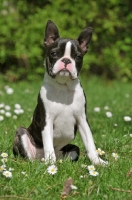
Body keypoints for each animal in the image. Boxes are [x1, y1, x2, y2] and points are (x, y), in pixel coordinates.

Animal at [13, 19, 106, 164]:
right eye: (54, 54)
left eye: (78, 57)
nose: (66, 60)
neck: (63, 87)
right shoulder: (47, 121)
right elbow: (48, 144)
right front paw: (51, 165)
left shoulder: (82, 120)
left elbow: (90, 144)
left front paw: (98, 162)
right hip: (22, 133)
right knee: (32, 155)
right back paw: (45, 163)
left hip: (73, 149)